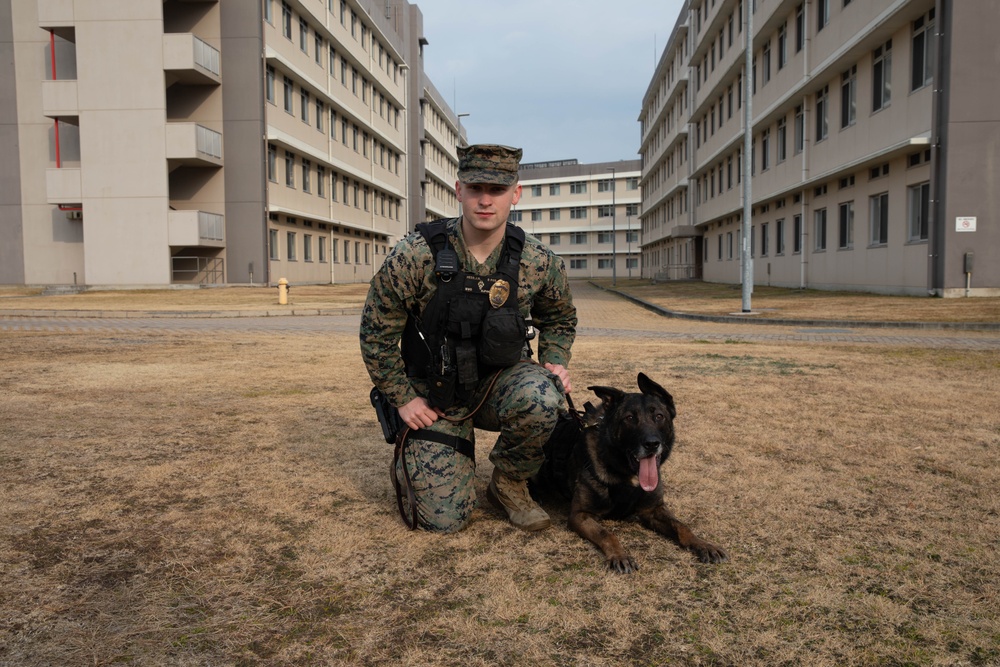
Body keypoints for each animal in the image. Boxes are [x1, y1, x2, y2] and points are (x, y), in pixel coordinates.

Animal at [540, 376, 728, 576]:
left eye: (659, 416)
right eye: (629, 418)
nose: (652, 444)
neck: (628, 476)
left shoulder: (652, 510)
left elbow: (682, 526)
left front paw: (704, 544)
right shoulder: (580, 515)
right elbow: (607, 533)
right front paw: (619, 556)